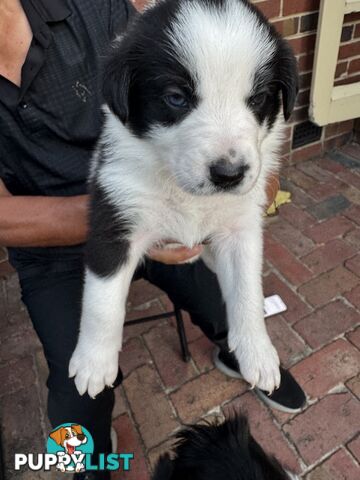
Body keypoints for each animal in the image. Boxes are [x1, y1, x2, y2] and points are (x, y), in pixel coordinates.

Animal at [69, 0, 296, 398]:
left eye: (258, 99)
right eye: (176, 98)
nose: (229, 174)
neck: (182, 189)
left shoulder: (241, 227)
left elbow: (248, 291)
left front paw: (258, 353)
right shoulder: (114, 218)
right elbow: (101, 301)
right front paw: (94, 363)